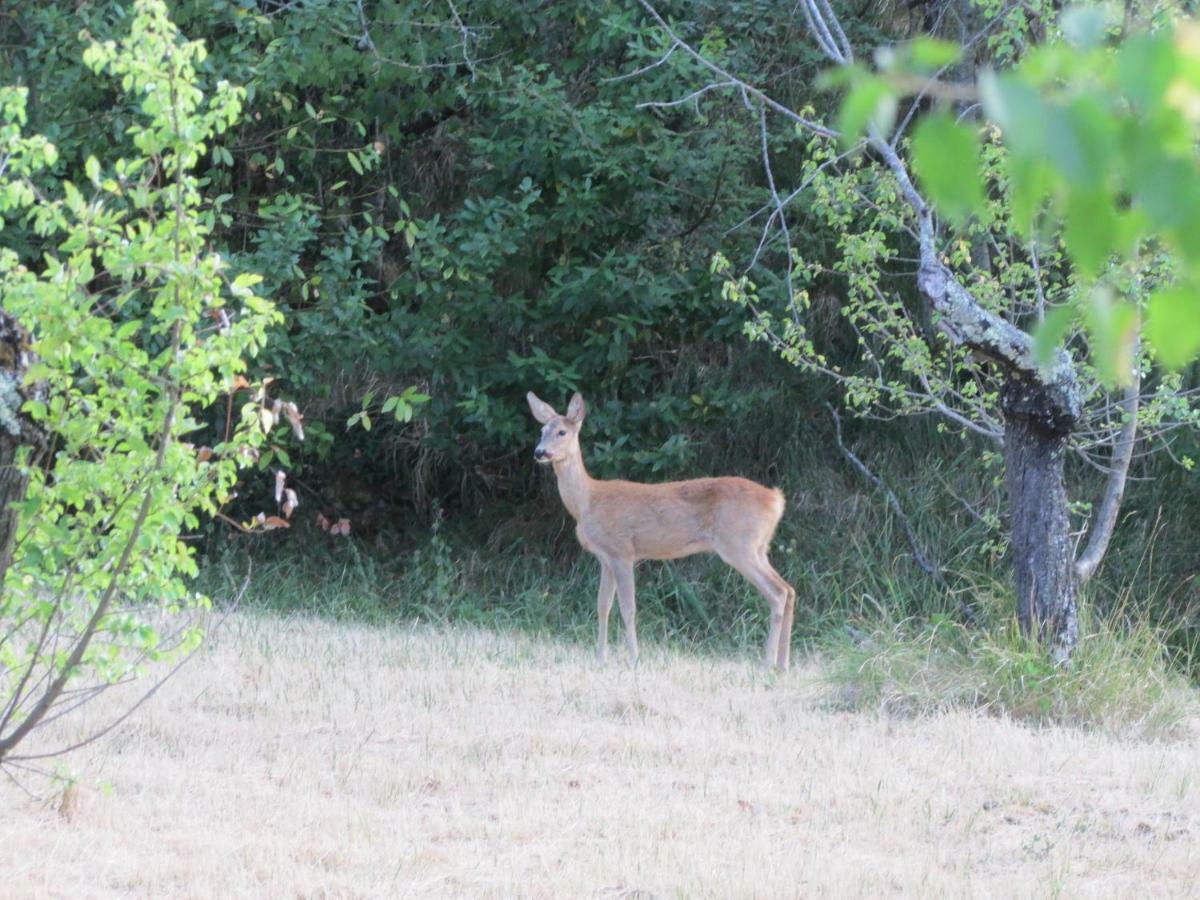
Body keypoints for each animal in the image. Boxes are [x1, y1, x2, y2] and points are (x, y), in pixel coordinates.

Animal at [528, 393, 796, 672]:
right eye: (541, 431)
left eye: (561, 432)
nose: (540, 452)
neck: (587, 500)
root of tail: (776, 500)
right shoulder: (605, 559)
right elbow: (603, 606)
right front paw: (600, 658)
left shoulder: (622, 551)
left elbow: (628, 608)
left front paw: (634, 658)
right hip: (758, 548)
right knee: (789, 590)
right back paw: (783, 664)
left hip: (739, 545)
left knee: (777, 593)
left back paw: (767, 663)